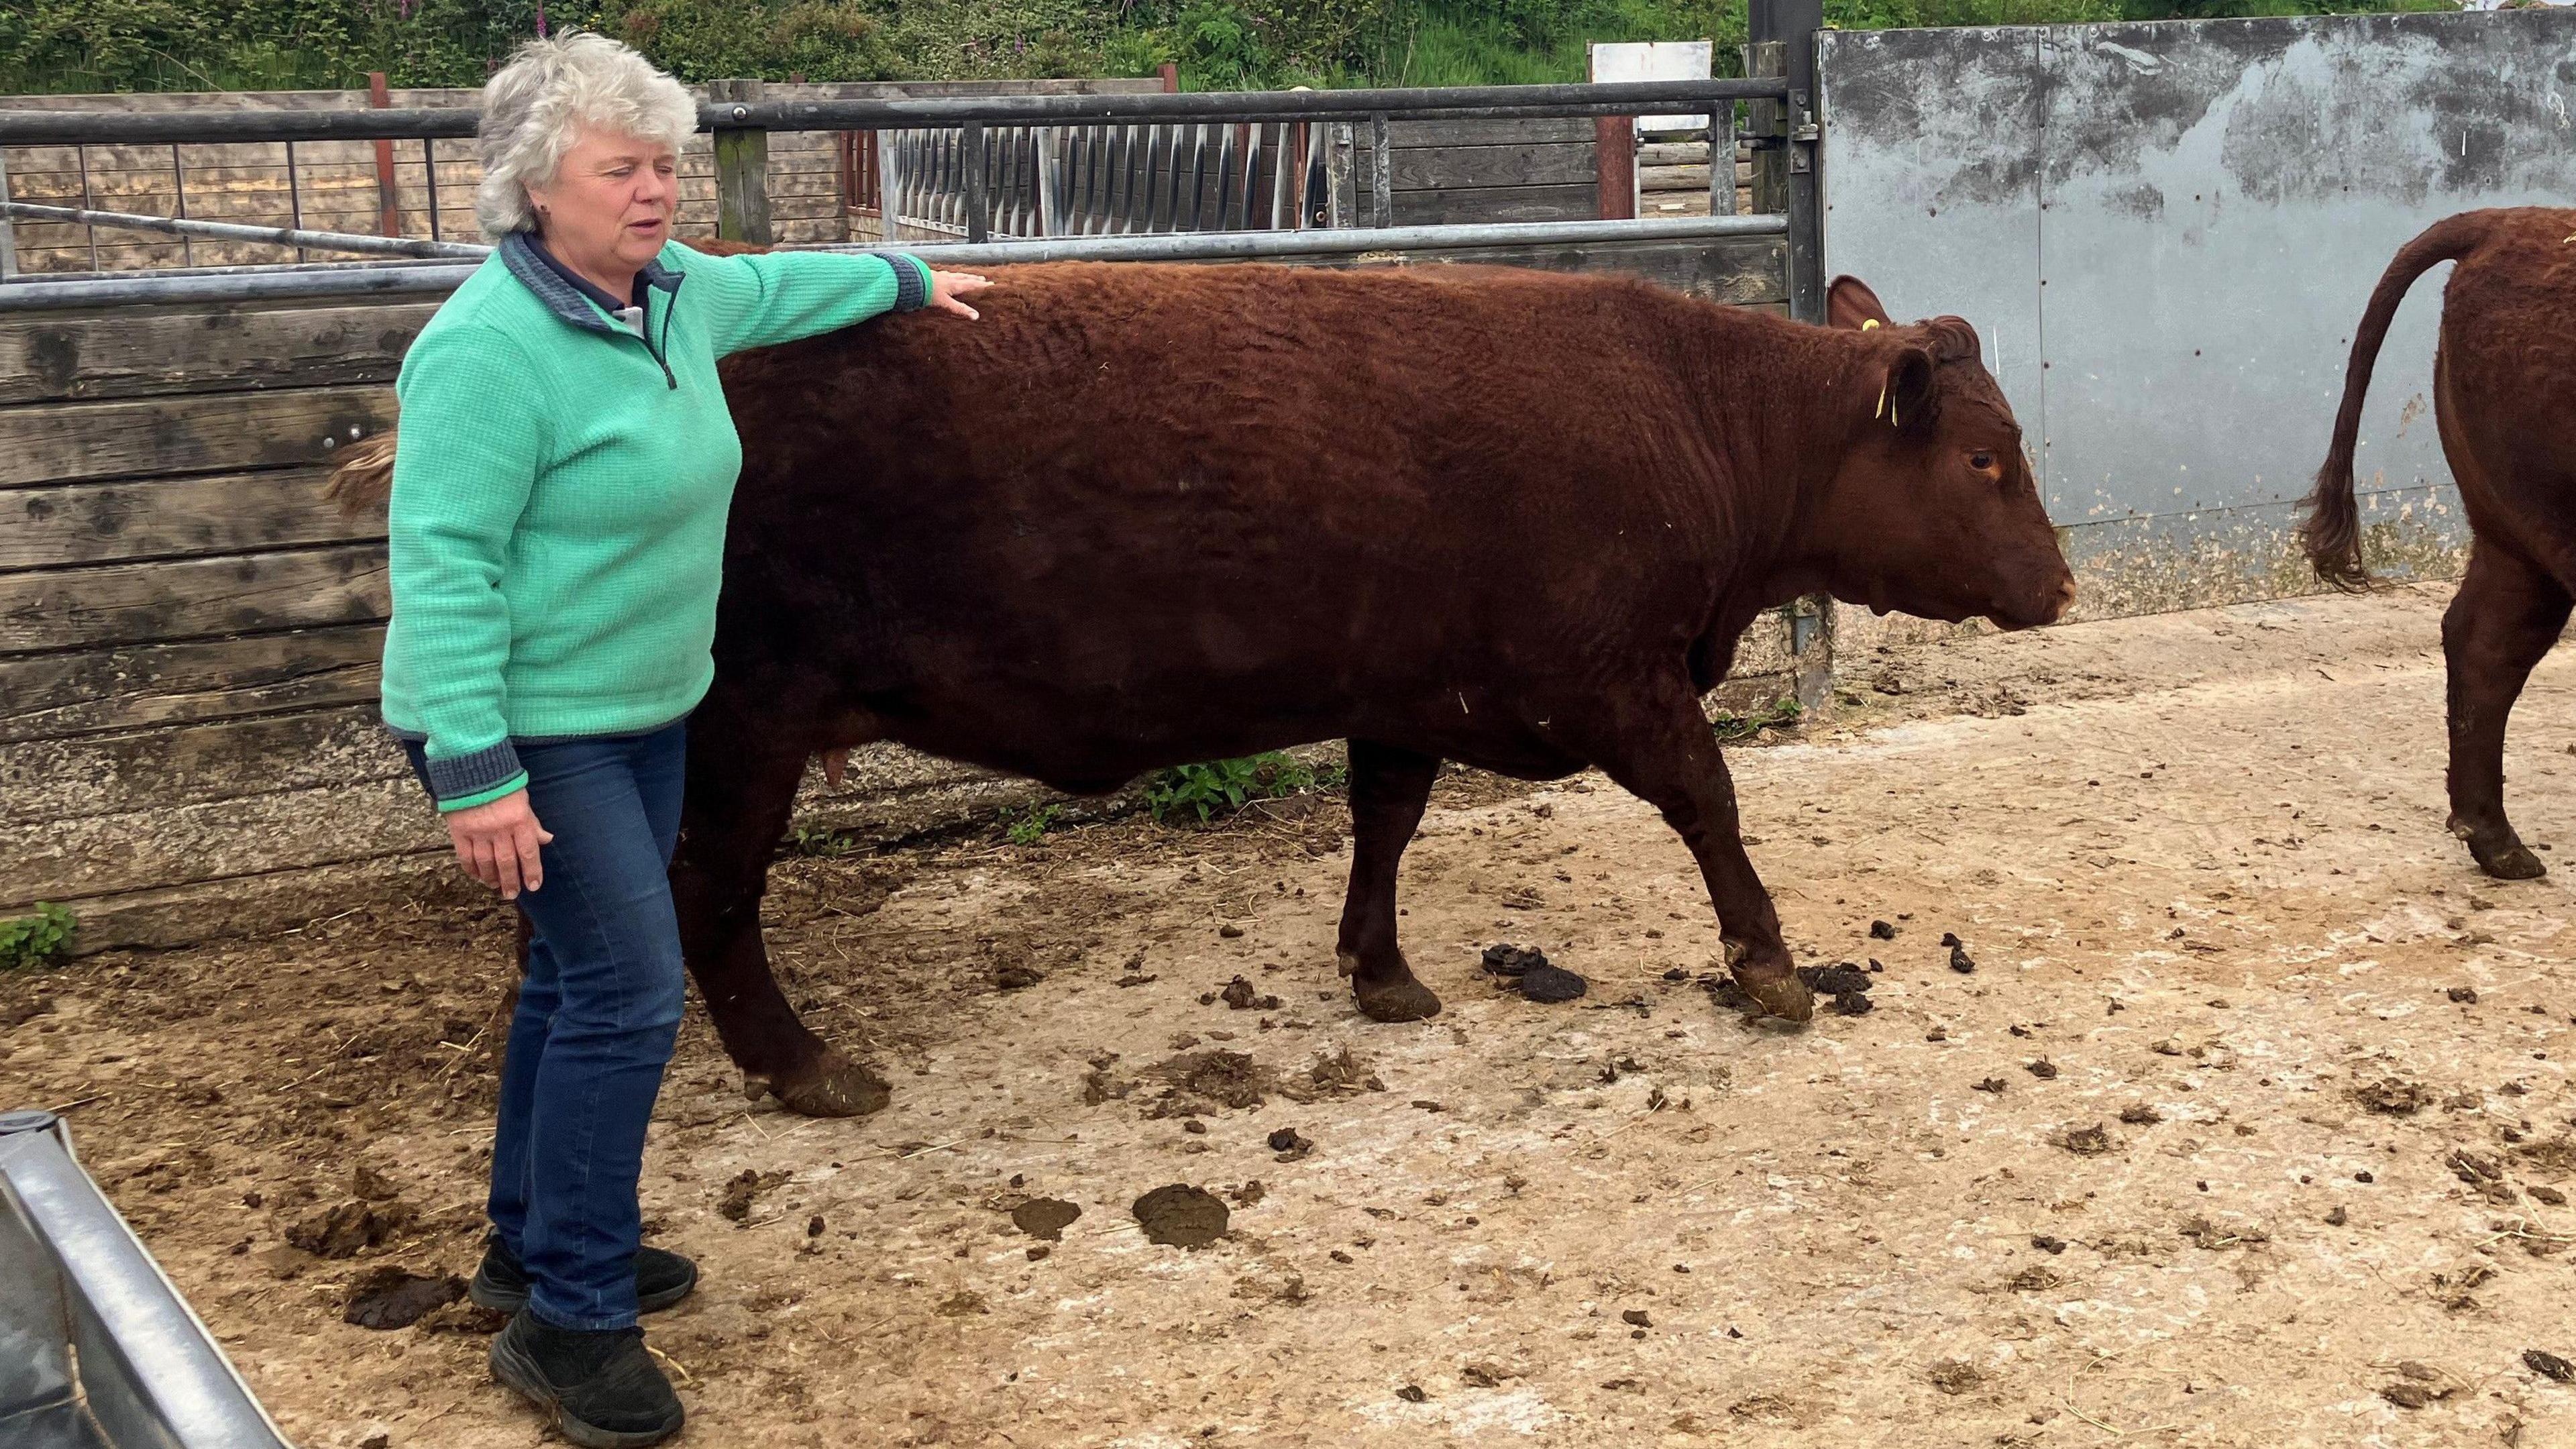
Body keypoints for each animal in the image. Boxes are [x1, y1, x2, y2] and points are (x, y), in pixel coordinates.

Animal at [337, 262, 2071, 1119]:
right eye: (1988, 458)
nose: (2056, 583)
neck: (1688, 415)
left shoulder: (1406, 683)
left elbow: (1383, 822)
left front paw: (1380, 969)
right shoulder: (1611, 679)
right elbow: (1711, 803)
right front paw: (1768, 963)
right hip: (738, 723)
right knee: (707, 896)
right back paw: (798, 1062)